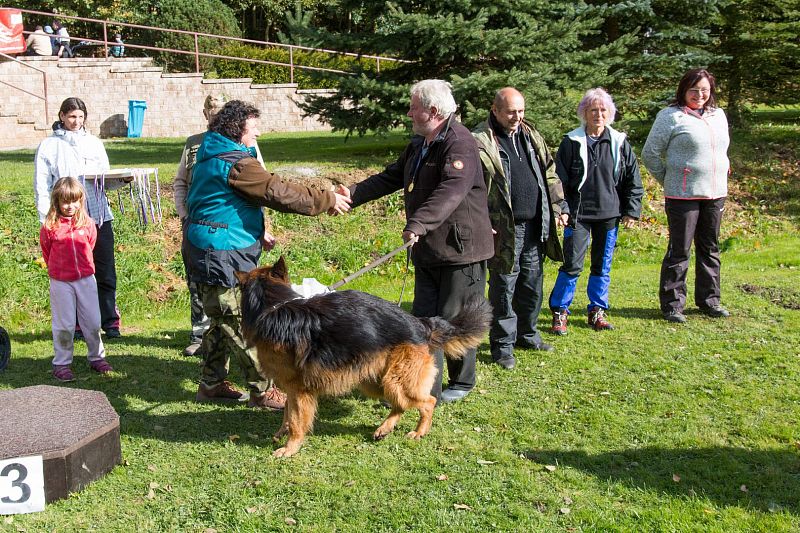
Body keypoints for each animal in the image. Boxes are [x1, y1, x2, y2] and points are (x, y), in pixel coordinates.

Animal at [234, 258, 490, 458]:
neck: (272, 307)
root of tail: (420, 323)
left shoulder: (299, 390)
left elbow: (297, 420)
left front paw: (290, 448)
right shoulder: (291, 388)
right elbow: (287, 412)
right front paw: (281, 433)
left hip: (395, 380)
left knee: (428, 402)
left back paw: (419, 431)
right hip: (375, 381)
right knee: (400, 404)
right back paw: (384, 428)